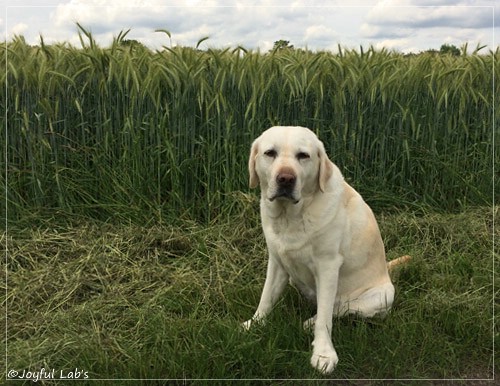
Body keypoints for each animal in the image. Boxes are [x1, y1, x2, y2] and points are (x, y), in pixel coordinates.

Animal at [242, 126, 394, 374]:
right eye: (270, 153)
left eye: (303, 155)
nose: (286, 179)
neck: (291, 217)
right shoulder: (277, 261)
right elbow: (266, 298)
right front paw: (254, 324)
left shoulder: (328, 266)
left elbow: (325, 317)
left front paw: (323, 354)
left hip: (384, 295)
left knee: (338, 309)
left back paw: (309, 323)